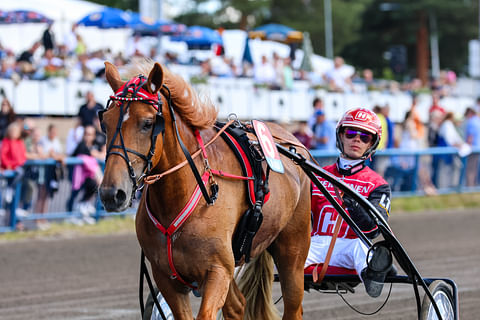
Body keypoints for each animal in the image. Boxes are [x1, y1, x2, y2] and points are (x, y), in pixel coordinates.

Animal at [98, 60, 312, 320]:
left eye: (147, 123)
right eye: (105, 123)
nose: (111, 193)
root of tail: (294, 143)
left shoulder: (217, 270)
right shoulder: (167, 277)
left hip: (293, 249)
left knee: (293, 303)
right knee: (237, 305)